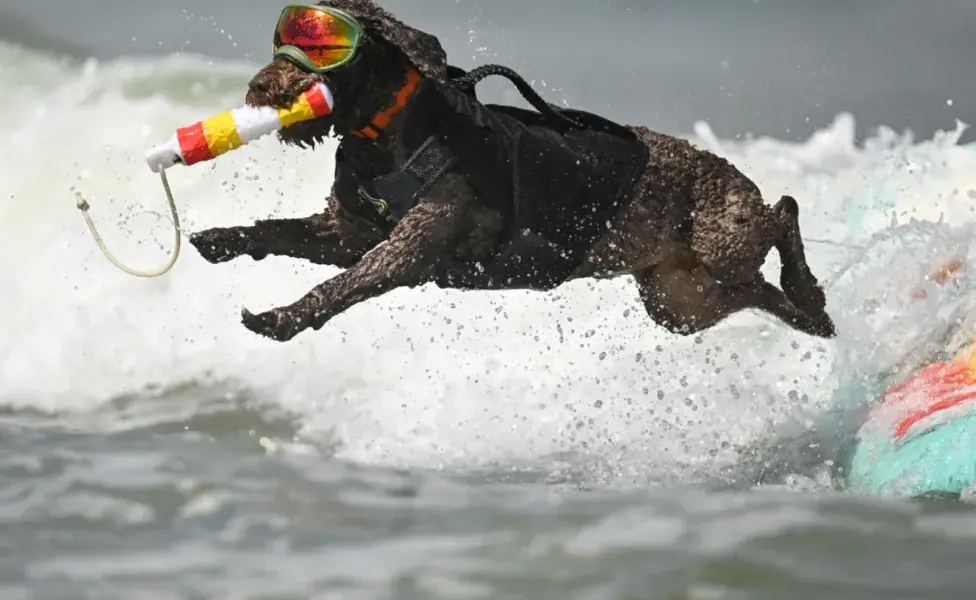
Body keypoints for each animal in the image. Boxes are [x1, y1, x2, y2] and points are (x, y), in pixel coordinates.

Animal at [193, 0, 840, 342]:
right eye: (282, 40)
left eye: (324, 45)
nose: (259, 88)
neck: (386, 132)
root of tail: (731, 173)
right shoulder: (346, 233)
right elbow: (277, 230)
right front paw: (222, 238)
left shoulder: (405, 249)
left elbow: (341, 285)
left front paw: (283, 315)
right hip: (679, 301)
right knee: (760, 285)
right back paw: (812, 311)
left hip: (719, 246)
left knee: (783, 213)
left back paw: (805, 282)